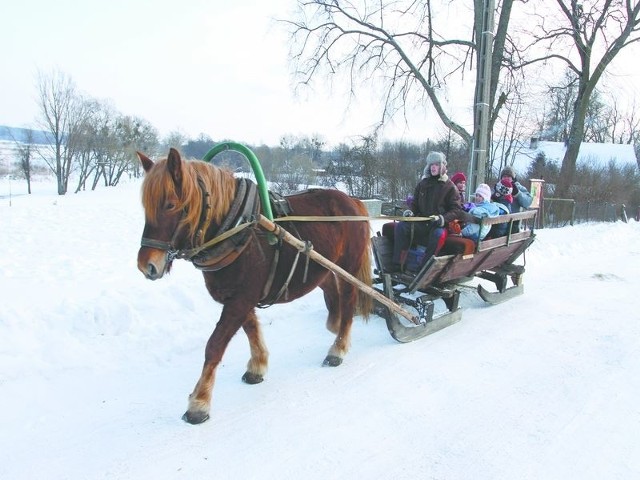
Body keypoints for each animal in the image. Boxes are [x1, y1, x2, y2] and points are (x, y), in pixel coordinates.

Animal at [138, 148, 372, 422]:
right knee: (332, 292)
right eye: (146, 206)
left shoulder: (241, 299)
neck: (238, 228)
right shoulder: (238, 297)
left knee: (348, 301)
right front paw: (258, 367)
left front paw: (199, 403)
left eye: (171, 205)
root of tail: (354, 201)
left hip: (348, 269)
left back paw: (338, 348)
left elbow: (215, 345)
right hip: (320, 267)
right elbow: (251, 328)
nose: (146, 265)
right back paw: (333, 326)